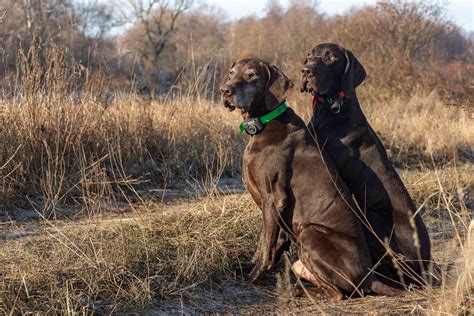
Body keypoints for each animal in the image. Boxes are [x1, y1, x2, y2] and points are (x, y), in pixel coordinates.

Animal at [221, 58, 404, 298]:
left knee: (337, 293)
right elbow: (263, 241)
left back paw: (297, 290)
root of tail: (369, 277)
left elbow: (267, 246)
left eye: (252, 75)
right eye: (231, 73)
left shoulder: (273, 198)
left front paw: (253, 276)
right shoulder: (269, 207)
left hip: (309, 233)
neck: (265, 122)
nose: (225, 90)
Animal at [302, 43, 438, 288]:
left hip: (373, 217)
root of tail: (426, 264)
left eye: (331, 57)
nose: (306, 70)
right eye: (310, 55)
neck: (334, 108)